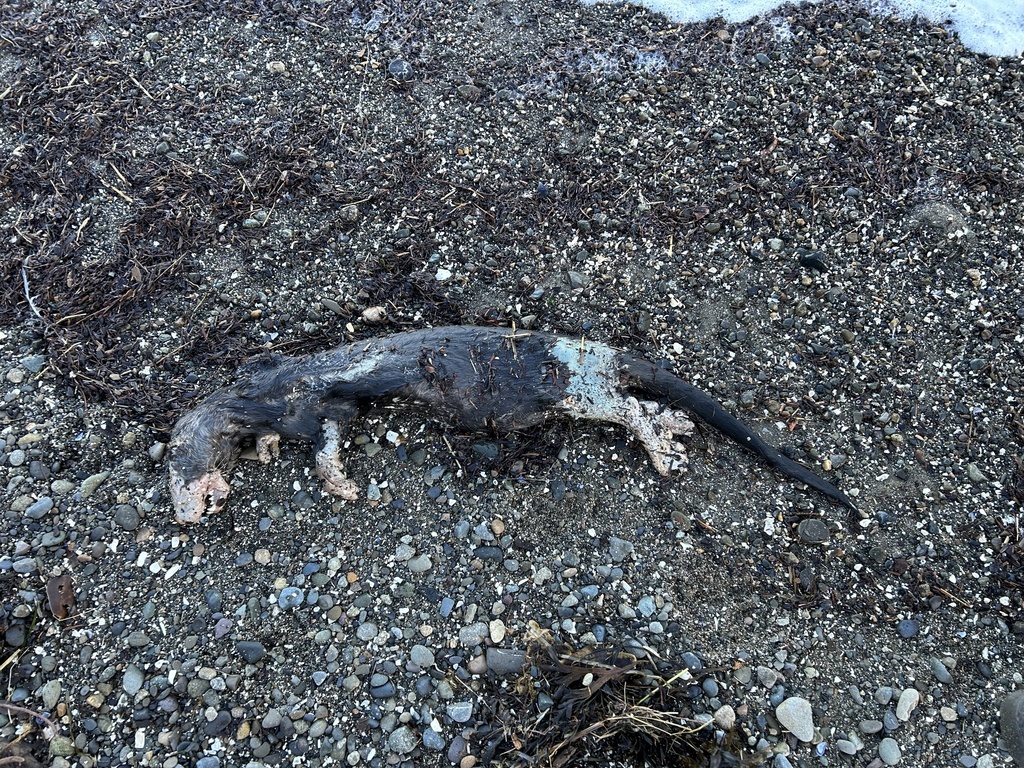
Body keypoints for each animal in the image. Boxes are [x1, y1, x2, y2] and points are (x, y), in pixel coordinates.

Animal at [168, 326, 856, 523]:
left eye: (176, 470)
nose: (187, 515)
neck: (256, 396)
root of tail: (600, 353)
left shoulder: (314, 405)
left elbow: (327, 445)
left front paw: (339, 483)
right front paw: (261, 451)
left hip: (581, 390)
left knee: (630, 409)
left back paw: (662, 444)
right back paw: (673, 429)